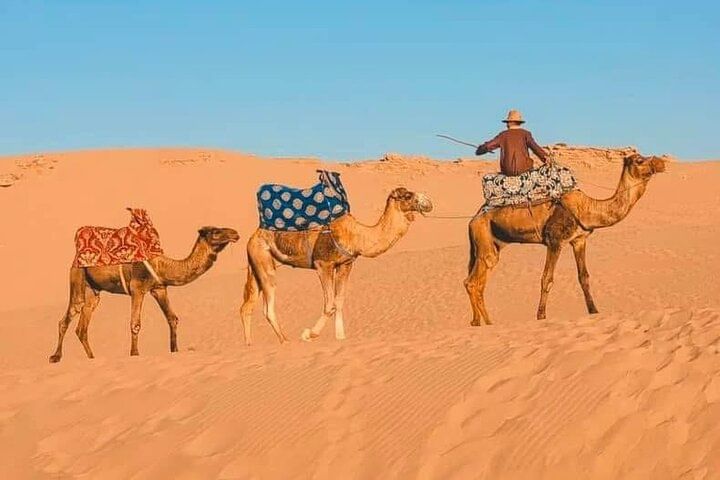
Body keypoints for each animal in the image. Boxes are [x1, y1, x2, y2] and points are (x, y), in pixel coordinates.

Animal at [49, 226, 239, 362]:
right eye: (215, 231)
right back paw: (55, 357)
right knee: (70, 313)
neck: (162, 265)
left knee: (83, 323)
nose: (235, 233)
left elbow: (172, 318)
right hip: (77, 277)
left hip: (93, 290)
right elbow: (135, 324)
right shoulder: (137, 288)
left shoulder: (159, 288)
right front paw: (134, 354)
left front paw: (174, 350)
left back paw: (92, 358)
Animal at [240, 187, 433, 345]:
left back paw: (249, 345)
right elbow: (329, 304)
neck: (357, 235)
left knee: (247, 306)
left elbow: (339, 301)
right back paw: (285, 340)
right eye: (407, 195)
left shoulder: (346, 264)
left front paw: (341, 336)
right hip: (263, 259)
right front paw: (309, 334)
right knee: (267, 307)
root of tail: (252, 236)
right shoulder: (323, 264)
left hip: (257, 264)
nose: (428, 203)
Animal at [465, 153, 666, 325]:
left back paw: (478, 322)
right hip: (484, 239)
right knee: (473, 281)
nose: (661, 162)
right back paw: (487, 323)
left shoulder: (579, 240)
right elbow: (547, 278)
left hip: (493, 243)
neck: (586, 209)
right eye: (639, 160)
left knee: (478, 282)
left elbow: (584, 277)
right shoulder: (555, 240)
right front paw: (541, 316)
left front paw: (594, 311)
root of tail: (472, 220)